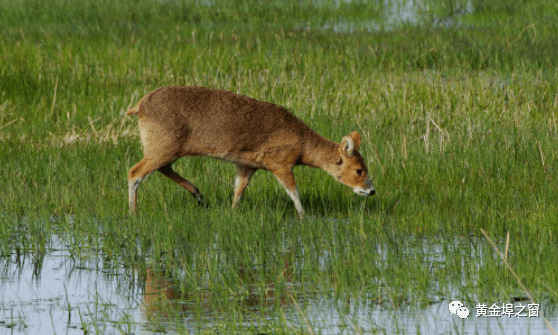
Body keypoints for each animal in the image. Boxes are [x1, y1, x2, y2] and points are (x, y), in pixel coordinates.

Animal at [127, 86, 376, 218]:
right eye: (359, 170)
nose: (371, 191)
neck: (302, 143)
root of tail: (139, 106)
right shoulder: (280, 163)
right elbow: (293, 191)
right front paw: (304, 216)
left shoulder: (247, 165)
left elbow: (239, 190)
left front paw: (231, 212)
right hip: (162, 147)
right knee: (134, 173)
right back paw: (133, 212)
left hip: (166, 149)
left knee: (162, 169)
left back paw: (199, 196)